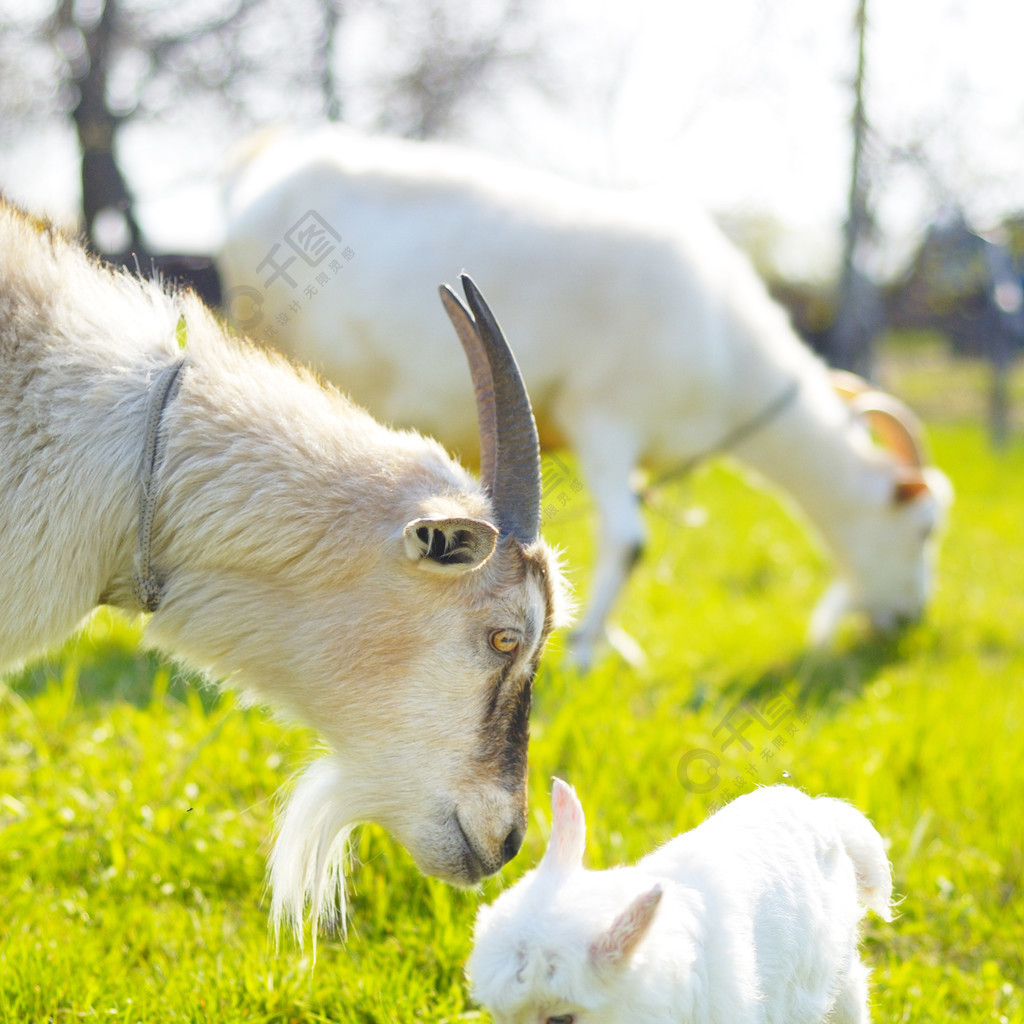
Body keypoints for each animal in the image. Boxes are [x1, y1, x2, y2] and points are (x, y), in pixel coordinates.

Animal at [216, 125, 950, 671]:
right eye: (924, 529)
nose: (908, 622)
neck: (722, 341)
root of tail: (264, 164)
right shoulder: (606, 419)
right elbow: (628, 541)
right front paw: (588, 653)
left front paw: (606, 641)